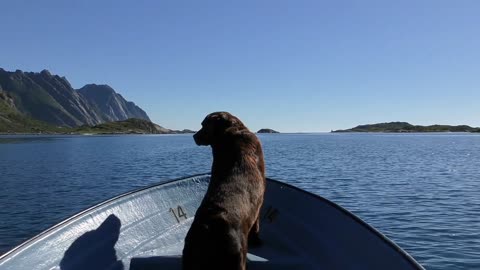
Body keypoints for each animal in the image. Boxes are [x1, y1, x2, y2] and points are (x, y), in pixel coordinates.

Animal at [183, 111, 266, 270]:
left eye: (204, 125)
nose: (194, 136)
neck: (232, 133)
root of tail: (208, 227)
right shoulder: (260, 204)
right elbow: (257, 225)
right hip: (238, 258)